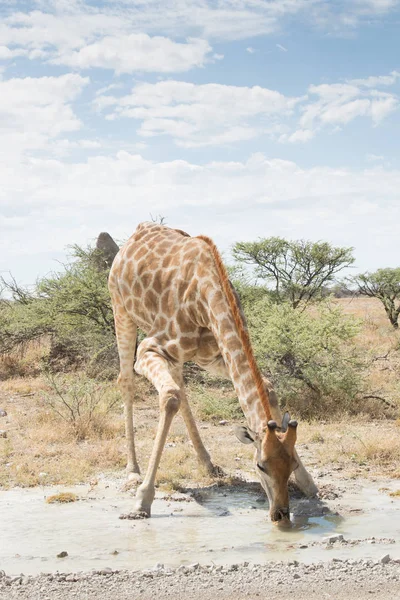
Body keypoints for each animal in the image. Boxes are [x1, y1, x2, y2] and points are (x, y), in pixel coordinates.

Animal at [108, 223, 318, 524]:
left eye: (292, 463)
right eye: (260, 466)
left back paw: (208, 463)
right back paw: (133, 471)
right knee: (128, 382)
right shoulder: (149, 349)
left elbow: (267, 386)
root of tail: (137, 232)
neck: (204, 296)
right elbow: (169, 397)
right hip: (121, 310)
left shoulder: (214, 356)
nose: (280, 514)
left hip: (179, 355)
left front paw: (309, 484)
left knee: (181, 388)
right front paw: (142, 501)